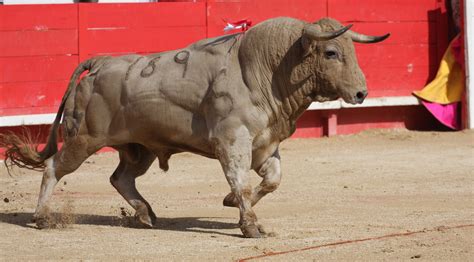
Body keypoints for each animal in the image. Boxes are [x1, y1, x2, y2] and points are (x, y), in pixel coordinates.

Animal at [0, 16, 388, 237]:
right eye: (331, 53)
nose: (361, 93)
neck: (263, 70)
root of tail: (99, 63)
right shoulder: (232, 142)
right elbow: (242, 181)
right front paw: (250, 226)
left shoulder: (265, 143)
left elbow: (271, 180)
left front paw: (233, 204)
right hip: (85, 138)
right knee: (55, 167)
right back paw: (42, 218)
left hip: (138, 148)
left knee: (121, 178)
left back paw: (145, 215)